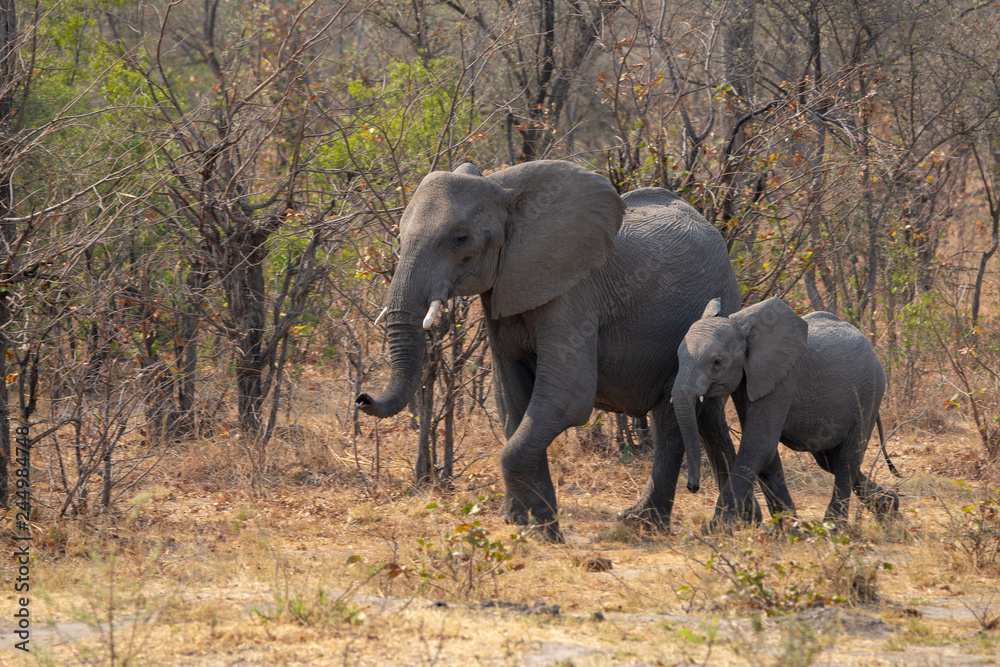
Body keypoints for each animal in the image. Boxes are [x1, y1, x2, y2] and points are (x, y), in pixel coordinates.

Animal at [356, 159, 770, 539]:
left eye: (460, 239)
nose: (362, 399)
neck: (504, 193)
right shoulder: (504, 290)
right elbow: (513, 404)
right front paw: (522, 519)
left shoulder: (573, 292)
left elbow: (568, 396)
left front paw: (543, 528)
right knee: (695, 414)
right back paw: (716, 521)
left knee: (678, 416)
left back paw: (667, 524)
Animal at [671, 296, 901, 530]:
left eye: (717, 362)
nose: (692, 487)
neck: (743, 328)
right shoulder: (749, 381)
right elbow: (767, 453)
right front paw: (787, 528)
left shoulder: (781, 382)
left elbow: (758, 445)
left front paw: (715, 528)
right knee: (831, 460)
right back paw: (888, 507)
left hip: (868, 394)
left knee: (847, 459)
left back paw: (833, 528)